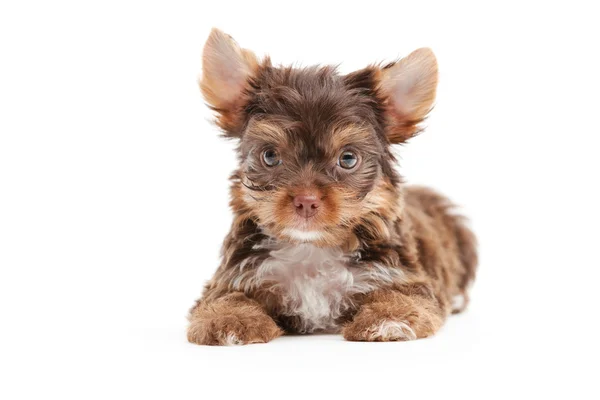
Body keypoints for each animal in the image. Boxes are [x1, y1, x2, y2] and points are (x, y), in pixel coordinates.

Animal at [188, 28, 478, 346]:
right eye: (270, 156)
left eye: (348, 158)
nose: (306, 200)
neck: (311, 247)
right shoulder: (234, 276)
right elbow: (225, 297)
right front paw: (229, 319)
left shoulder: (402, 275)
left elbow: (403, 296)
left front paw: (388, 318)